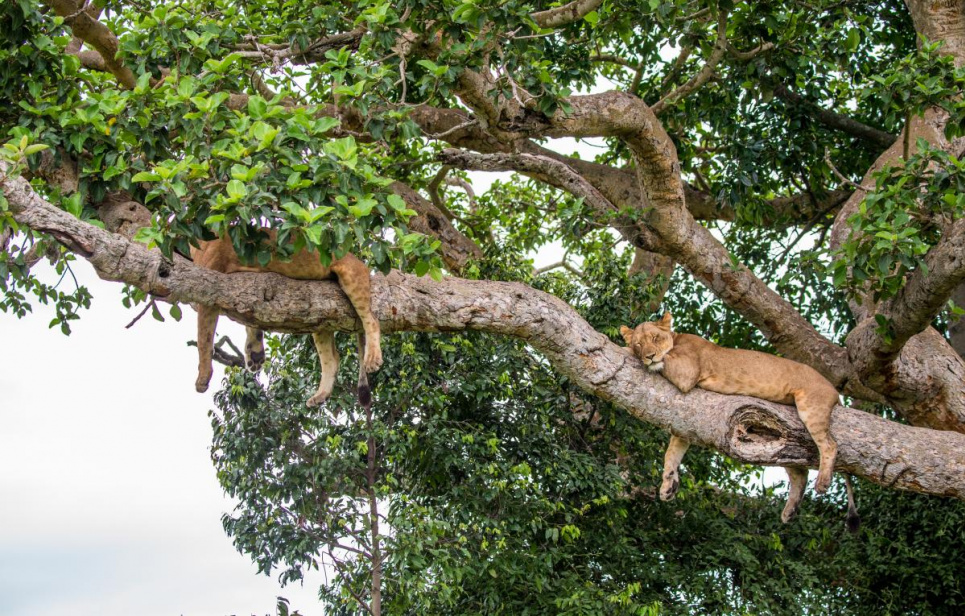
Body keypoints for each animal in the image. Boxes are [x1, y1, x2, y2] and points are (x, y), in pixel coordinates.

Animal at [190, 237, 382, 410]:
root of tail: (360, 261)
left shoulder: (210, 286)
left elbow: (203, 338)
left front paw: (203, 378)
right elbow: (250, 318)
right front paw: (255, 355)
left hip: (352, 278)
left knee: (372, 321)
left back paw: (373, 359)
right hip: (321, 314)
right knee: (332, 358)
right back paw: (320, 396)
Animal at [620, 312, 856, 524]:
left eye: (655, 338)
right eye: (639, 344)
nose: (649, 356)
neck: (676, 338)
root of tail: (833, 390)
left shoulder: (687, 371)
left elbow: (665, 359)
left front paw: (625, 349)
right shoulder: (683, 427)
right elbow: (672, 454)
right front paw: (667, 486)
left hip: (811, 406)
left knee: (829, 444)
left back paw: (822, 482)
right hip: (786, 437)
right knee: (799, 472)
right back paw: (789, 512)